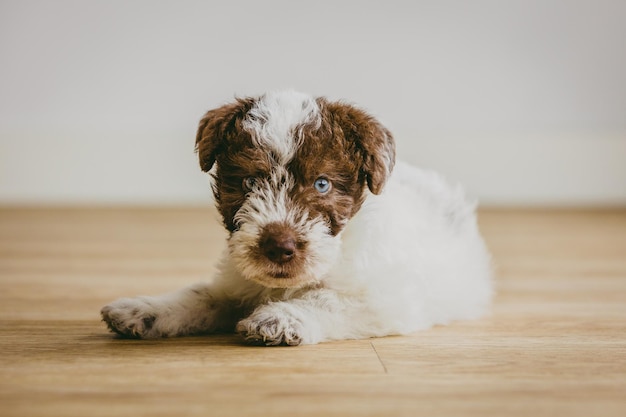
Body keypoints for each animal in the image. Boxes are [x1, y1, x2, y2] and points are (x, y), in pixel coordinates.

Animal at [101, 90, 492, 344]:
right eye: (250, 181)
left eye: (322, 184)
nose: (279, 246)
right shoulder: (236, 284)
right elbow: (200, 295)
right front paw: (142, 308)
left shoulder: (386, 298)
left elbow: (327, 298)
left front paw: (280, 317)